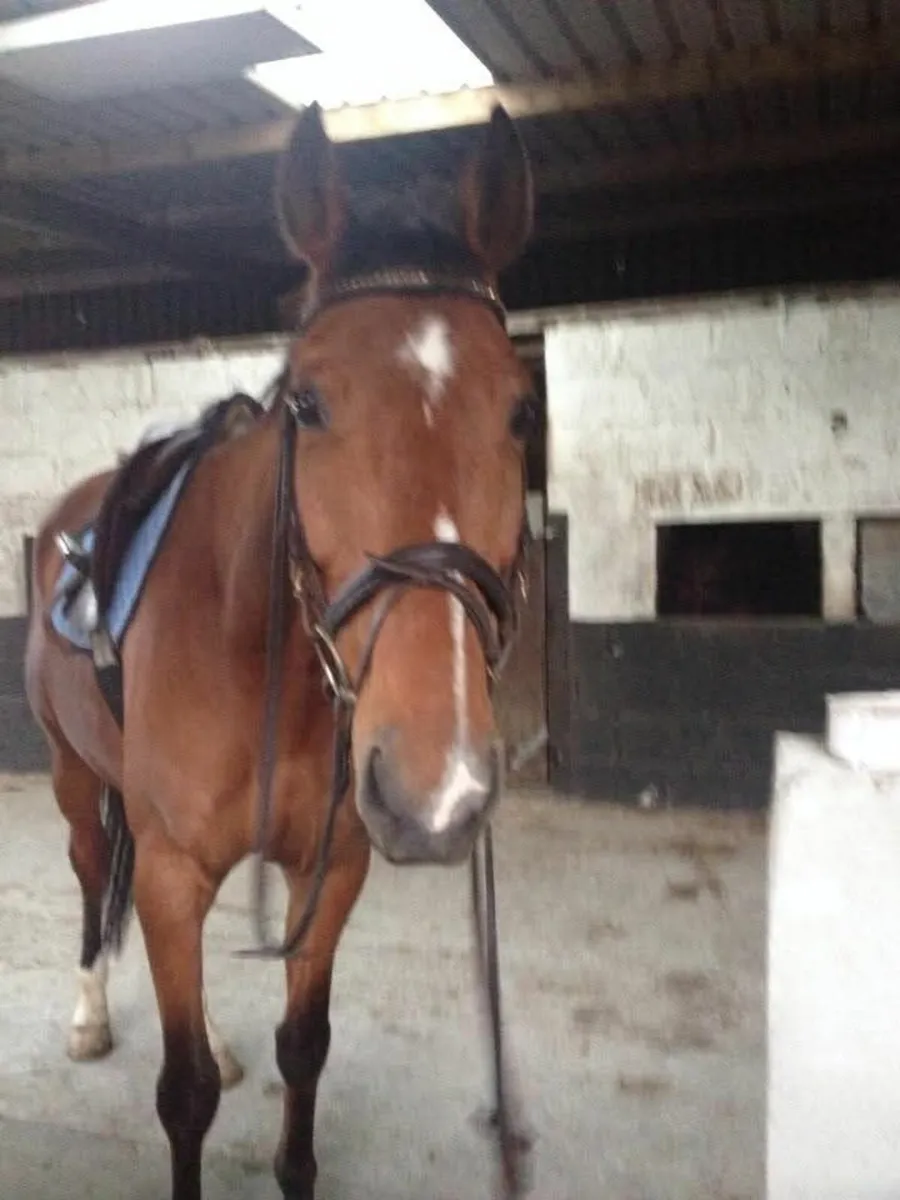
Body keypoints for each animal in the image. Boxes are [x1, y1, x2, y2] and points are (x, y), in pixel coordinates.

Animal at [24, 99, 537, 1200]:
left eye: (522, 410)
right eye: (307, 403)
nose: (436, 786)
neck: (263, 657)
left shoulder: (331, 867)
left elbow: (305, 1048)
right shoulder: (172, 866)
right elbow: (181, 1097)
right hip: (74, 775)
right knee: (90, 875)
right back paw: (89, 1014)